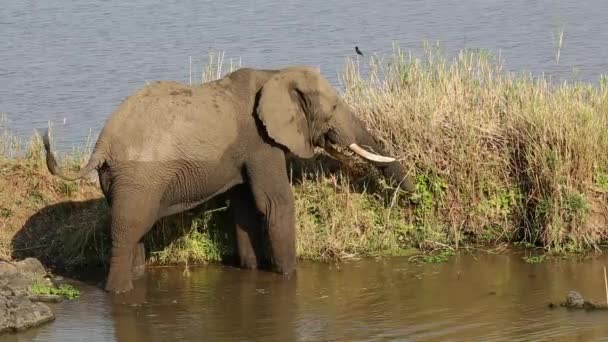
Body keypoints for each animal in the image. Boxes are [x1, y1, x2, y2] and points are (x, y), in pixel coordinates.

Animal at [41, 65, 414, 294]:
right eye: (334, 109)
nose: (411, 201)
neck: (275, 74)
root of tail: (102, 143)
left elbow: (245, 206)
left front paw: (251, 270)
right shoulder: (261, 142)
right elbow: (274, 204)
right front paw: (289, 276)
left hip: (120, 180)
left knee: (134, 231)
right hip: (138, 177)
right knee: (127, 228)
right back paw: (119, 290)